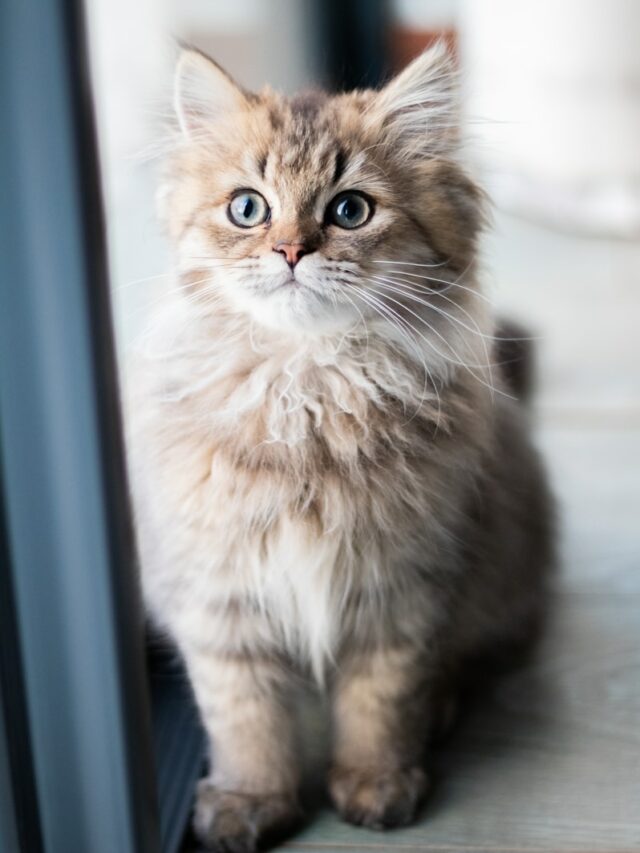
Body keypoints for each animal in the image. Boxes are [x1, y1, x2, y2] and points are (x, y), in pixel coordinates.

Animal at [126, 41, 556, 852]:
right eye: (248, 207)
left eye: (350, 210)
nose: (292, 249)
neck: (308, 392)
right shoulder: (219, 595)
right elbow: (244, 718)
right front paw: (251, 801)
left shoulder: (402, 589)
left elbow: (379, 703)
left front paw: (376, 784)